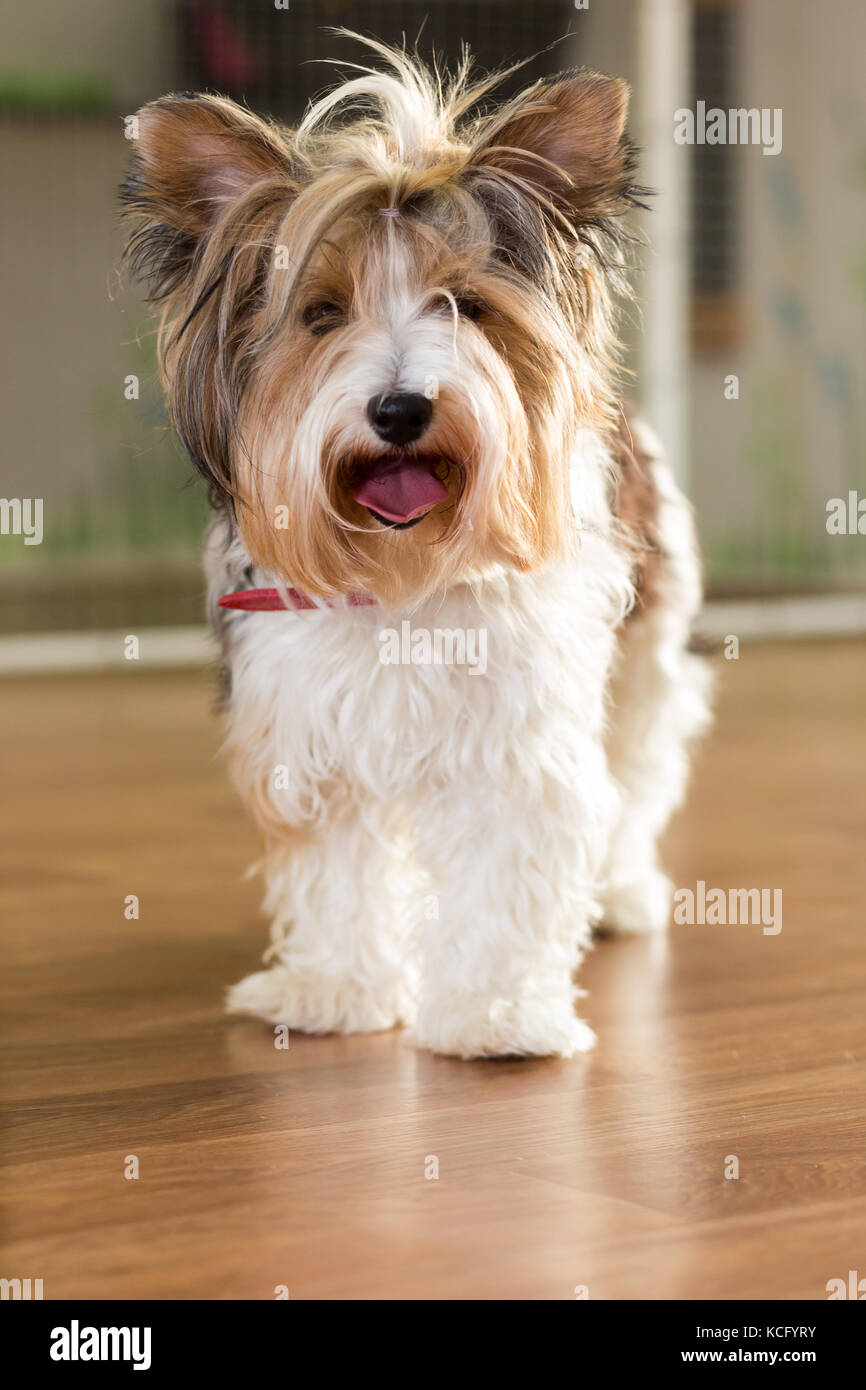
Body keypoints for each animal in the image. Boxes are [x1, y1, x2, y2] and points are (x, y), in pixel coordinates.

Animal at [120, 40, 711, 1061]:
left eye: (464, 305)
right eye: (320, 314)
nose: (399, 408)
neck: (399, 572)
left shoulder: (519, 730)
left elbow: (514, 856)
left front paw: (496, 1014)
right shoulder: (307, 726)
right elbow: (338, 867)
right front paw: (336, 989)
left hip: (649, 648)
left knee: (637, 771)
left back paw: (622, 893)